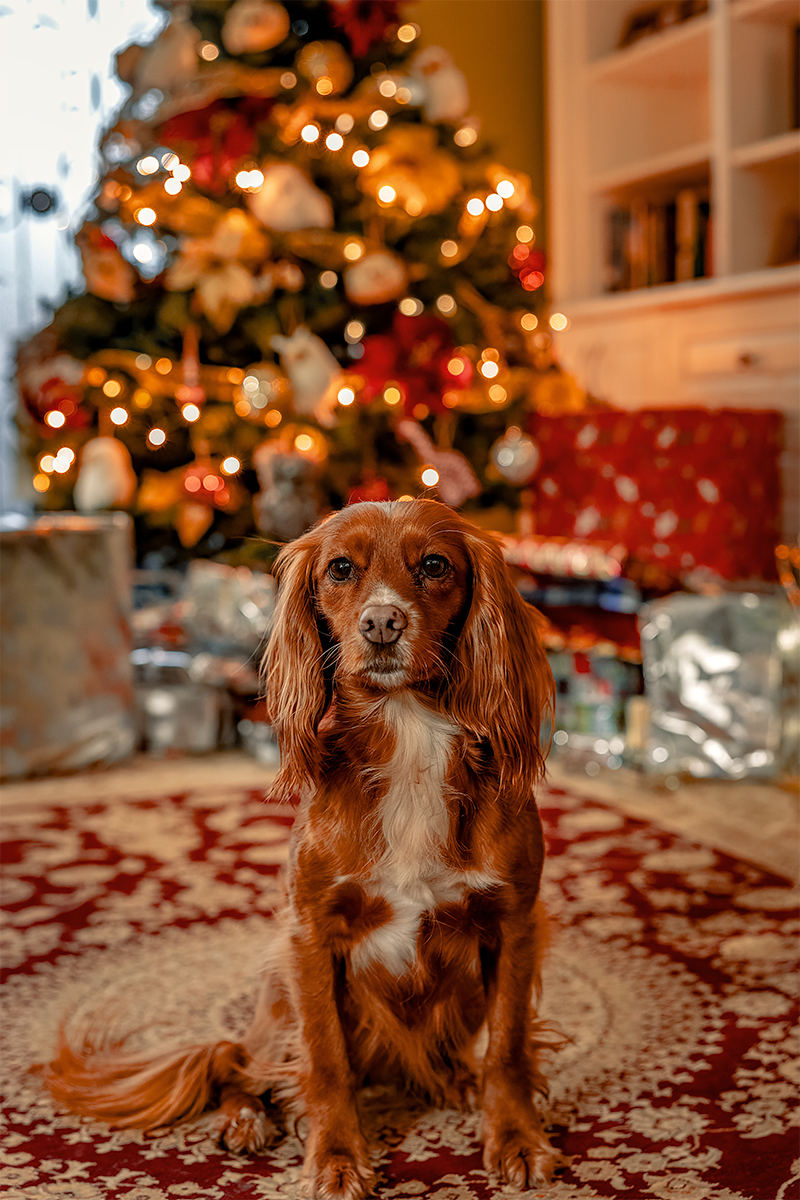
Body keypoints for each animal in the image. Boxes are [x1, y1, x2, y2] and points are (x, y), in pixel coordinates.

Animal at [47, 501, 566, 1195]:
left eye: (435, 565)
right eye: (340, 568)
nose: (381, 623)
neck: (410, 736)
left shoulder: (513, 925)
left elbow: (507, 1049)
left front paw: (515, 1138)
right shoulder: (311, 934)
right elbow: (324, 1062)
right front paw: (337, 1156)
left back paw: (454, 1080)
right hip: (274, 996)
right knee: (241, 1066)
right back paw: (246, 1119)